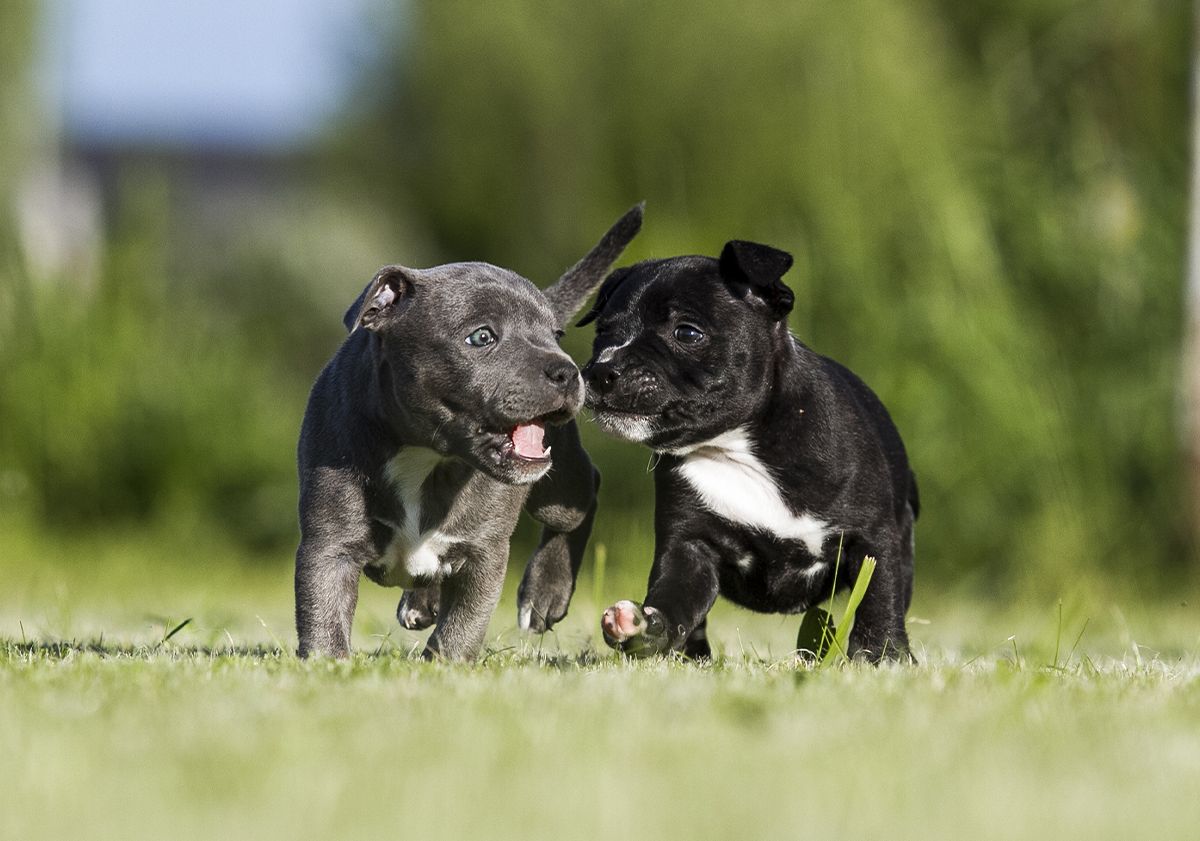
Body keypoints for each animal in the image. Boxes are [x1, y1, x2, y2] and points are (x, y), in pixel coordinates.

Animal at [295, 205, 643, 662]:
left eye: (556, 335)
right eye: (481, 337)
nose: (568, 370)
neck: (428, 456)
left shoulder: (484, 552)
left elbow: (465, 622)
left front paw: (446, 664)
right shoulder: (329, 544)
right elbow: (324, 611)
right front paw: (326, 663)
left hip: (558, 490)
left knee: (582, 503)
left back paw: (545, 593)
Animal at [580, 239, 916, 657]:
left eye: (686, 333)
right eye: (603, 332)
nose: (600, 370)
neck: (736, 448)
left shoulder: (872, 537)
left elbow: (879, 598)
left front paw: (881, 654)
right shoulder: (689, 548)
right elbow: (675, 598)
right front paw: (646, 627)